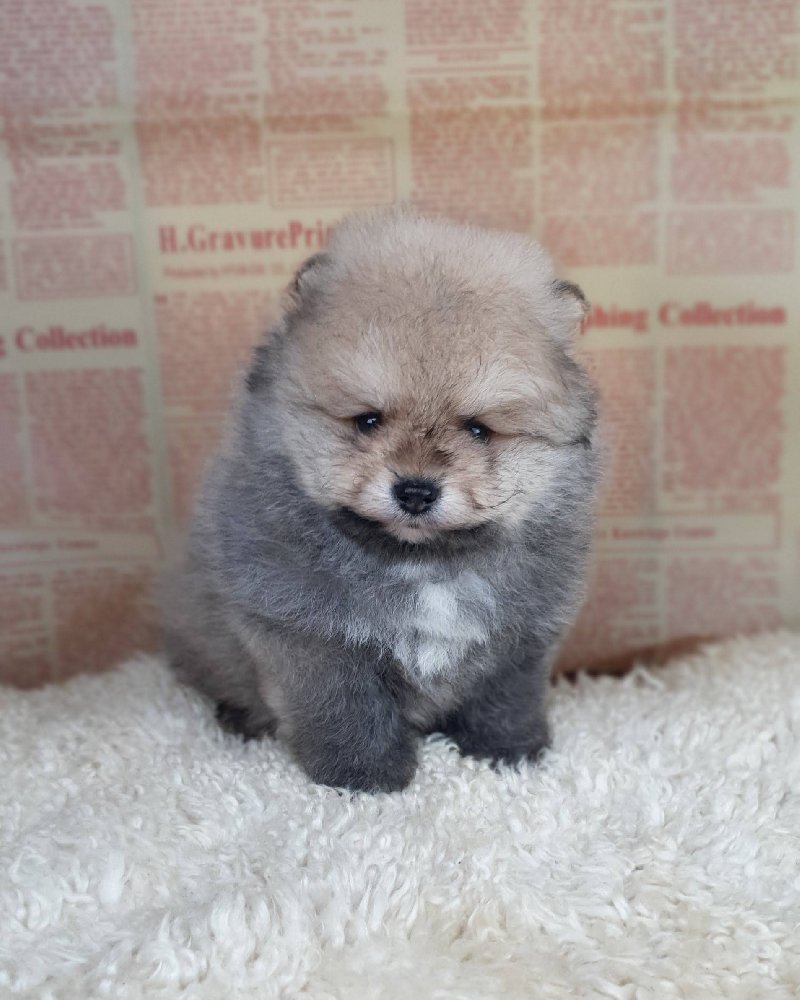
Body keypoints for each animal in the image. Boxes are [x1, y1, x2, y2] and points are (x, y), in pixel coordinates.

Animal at [162, 206, 600, 793]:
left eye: (479, 430)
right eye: (368, 420)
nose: (415, 490)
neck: (421, 562)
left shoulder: (521, 639)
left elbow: (504, 699)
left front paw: (506, 753)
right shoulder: (310, 637)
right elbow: (347, 711)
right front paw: (363, 779)